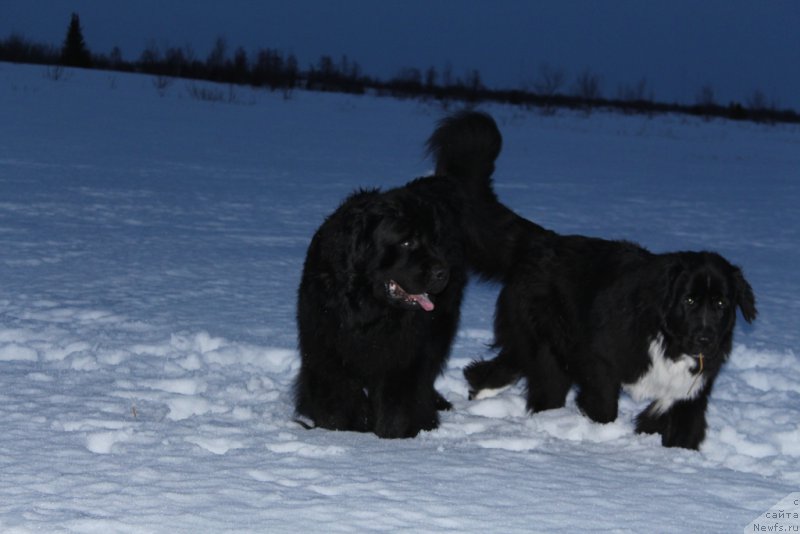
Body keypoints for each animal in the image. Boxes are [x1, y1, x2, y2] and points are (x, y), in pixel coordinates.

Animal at [294, 110, 536, 440]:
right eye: (407, 242)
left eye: (435, 241)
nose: (442, 272)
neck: (370, 312)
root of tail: (440, 182)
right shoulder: (327, 353)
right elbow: (337, 402)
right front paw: (343, 433)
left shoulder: (404, 357)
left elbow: (399, 401)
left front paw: (396, 437)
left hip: (441, 323)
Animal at [462, 234, 756, 452]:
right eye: (689, 300)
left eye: (721, 303)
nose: (705, 339)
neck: (669, 342)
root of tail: (536, 246)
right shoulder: (599, 361)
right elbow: (603, 407)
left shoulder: (690, 391)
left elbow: (682, 428)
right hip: (540, 346)